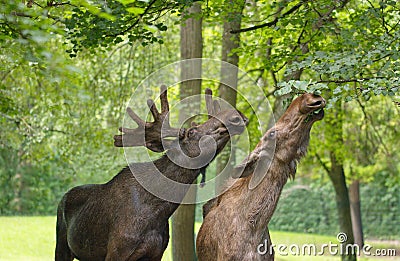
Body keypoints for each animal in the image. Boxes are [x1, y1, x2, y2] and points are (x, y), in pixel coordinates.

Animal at [53, 86, 247, 260]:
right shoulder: (116, 252)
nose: (236, 116)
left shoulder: (156, 253)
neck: (158, 212)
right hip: (62, 244)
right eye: (192, 131)